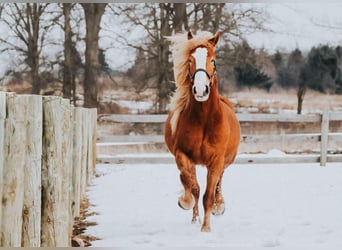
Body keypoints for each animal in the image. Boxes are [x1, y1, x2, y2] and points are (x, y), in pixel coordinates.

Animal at [164, 31, 240, 232]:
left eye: (213, 61)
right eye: (190, 60)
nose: (200, 90)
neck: (204, 119)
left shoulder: (216, 161)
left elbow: (208, 195)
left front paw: (206, 228)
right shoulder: (182, 155)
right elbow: (192, 186)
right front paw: (185, 202)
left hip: (226, 161)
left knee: (219, 183)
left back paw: (219, 206)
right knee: (192, 184)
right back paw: (194, 217)